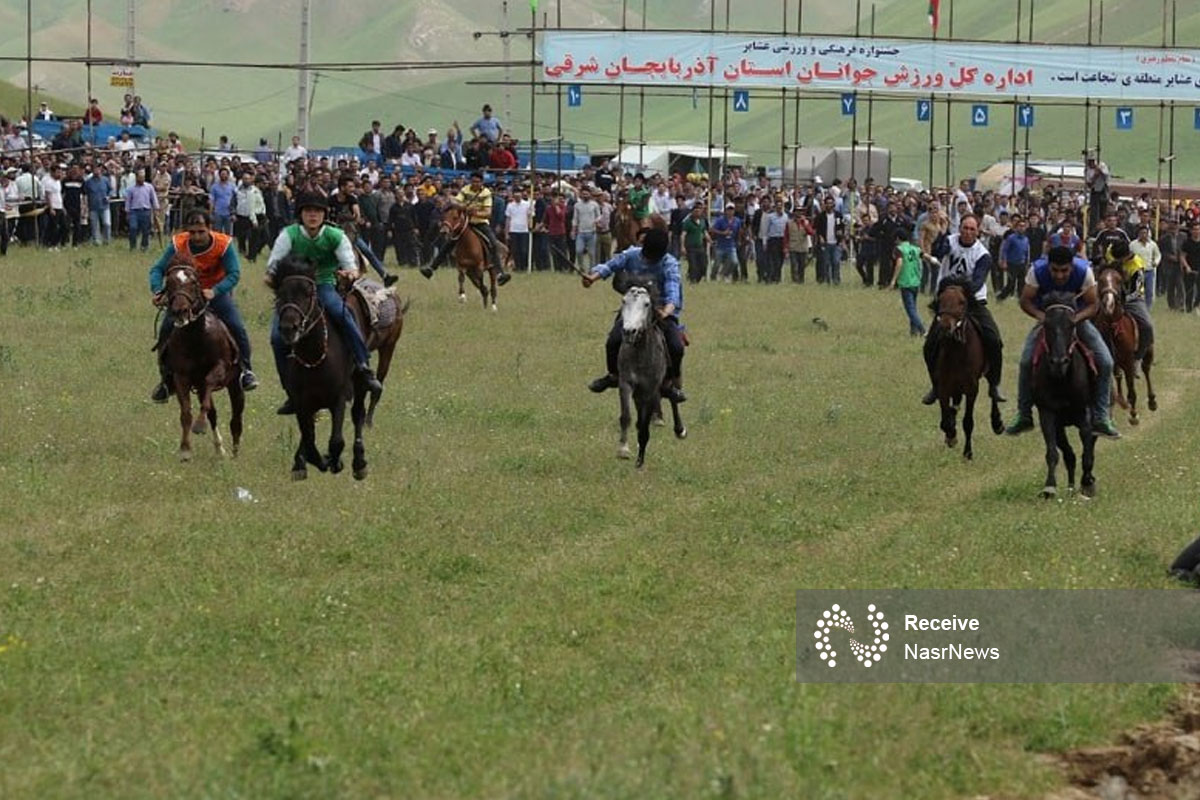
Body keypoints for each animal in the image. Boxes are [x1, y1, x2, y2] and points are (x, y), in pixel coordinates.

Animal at [158, 260, 244, 460]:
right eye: (169, 283)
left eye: (193, 283)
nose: (180, 311)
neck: (196, 337)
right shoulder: (181, 377)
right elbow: (186, 413)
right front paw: (185, 450)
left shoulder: (218, 370)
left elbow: (210, 384)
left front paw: (199, 426)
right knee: (213, 414)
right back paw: (219, 449)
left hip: (235, 386)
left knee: (236, 418)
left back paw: (235, 453)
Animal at [273, 256, 369, 482]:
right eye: (281, 294)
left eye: (308, 294)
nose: (288, 328)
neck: (314, 355)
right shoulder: (300, 401)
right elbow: (309, 438)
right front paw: (313, 461)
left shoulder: (339, 397)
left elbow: (336, 440)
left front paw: (335, 461)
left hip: (359, 381)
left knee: (358, 413)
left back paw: (359, 463)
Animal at [926, 283, 1003, 460]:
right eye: (941, 300)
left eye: (962, 302)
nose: (945, 326)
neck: (956, 350)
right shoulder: (943, 386)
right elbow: (946, 418)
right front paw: (951, 436)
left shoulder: (971, 388)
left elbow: (968, 422)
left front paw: (968, 453)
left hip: (989, 373)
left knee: (993, 391)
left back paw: (997, 423)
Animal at [1032, 291, 1099, 496]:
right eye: (1046, 325)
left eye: (1071, 325)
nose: (1059, 362)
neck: (1063, 380)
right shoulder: (1048, 414)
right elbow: (1054, 452)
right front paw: (1050, 486)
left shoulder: (1085, 415)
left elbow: (1087, 451)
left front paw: (1087, 483)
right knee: (1069, 454)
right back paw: (1070, 486)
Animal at [1099, 267, 1152, 424]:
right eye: (1101, 280)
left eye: (1118, 280)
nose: (1108, 305)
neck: (1113, 326)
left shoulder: (1128, 361)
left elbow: (1132, 388)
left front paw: (1134, 415)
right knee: (1118, 376)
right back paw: (1122, 400)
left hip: (1148, 350)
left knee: (1146, 369)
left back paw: (1151, 401)